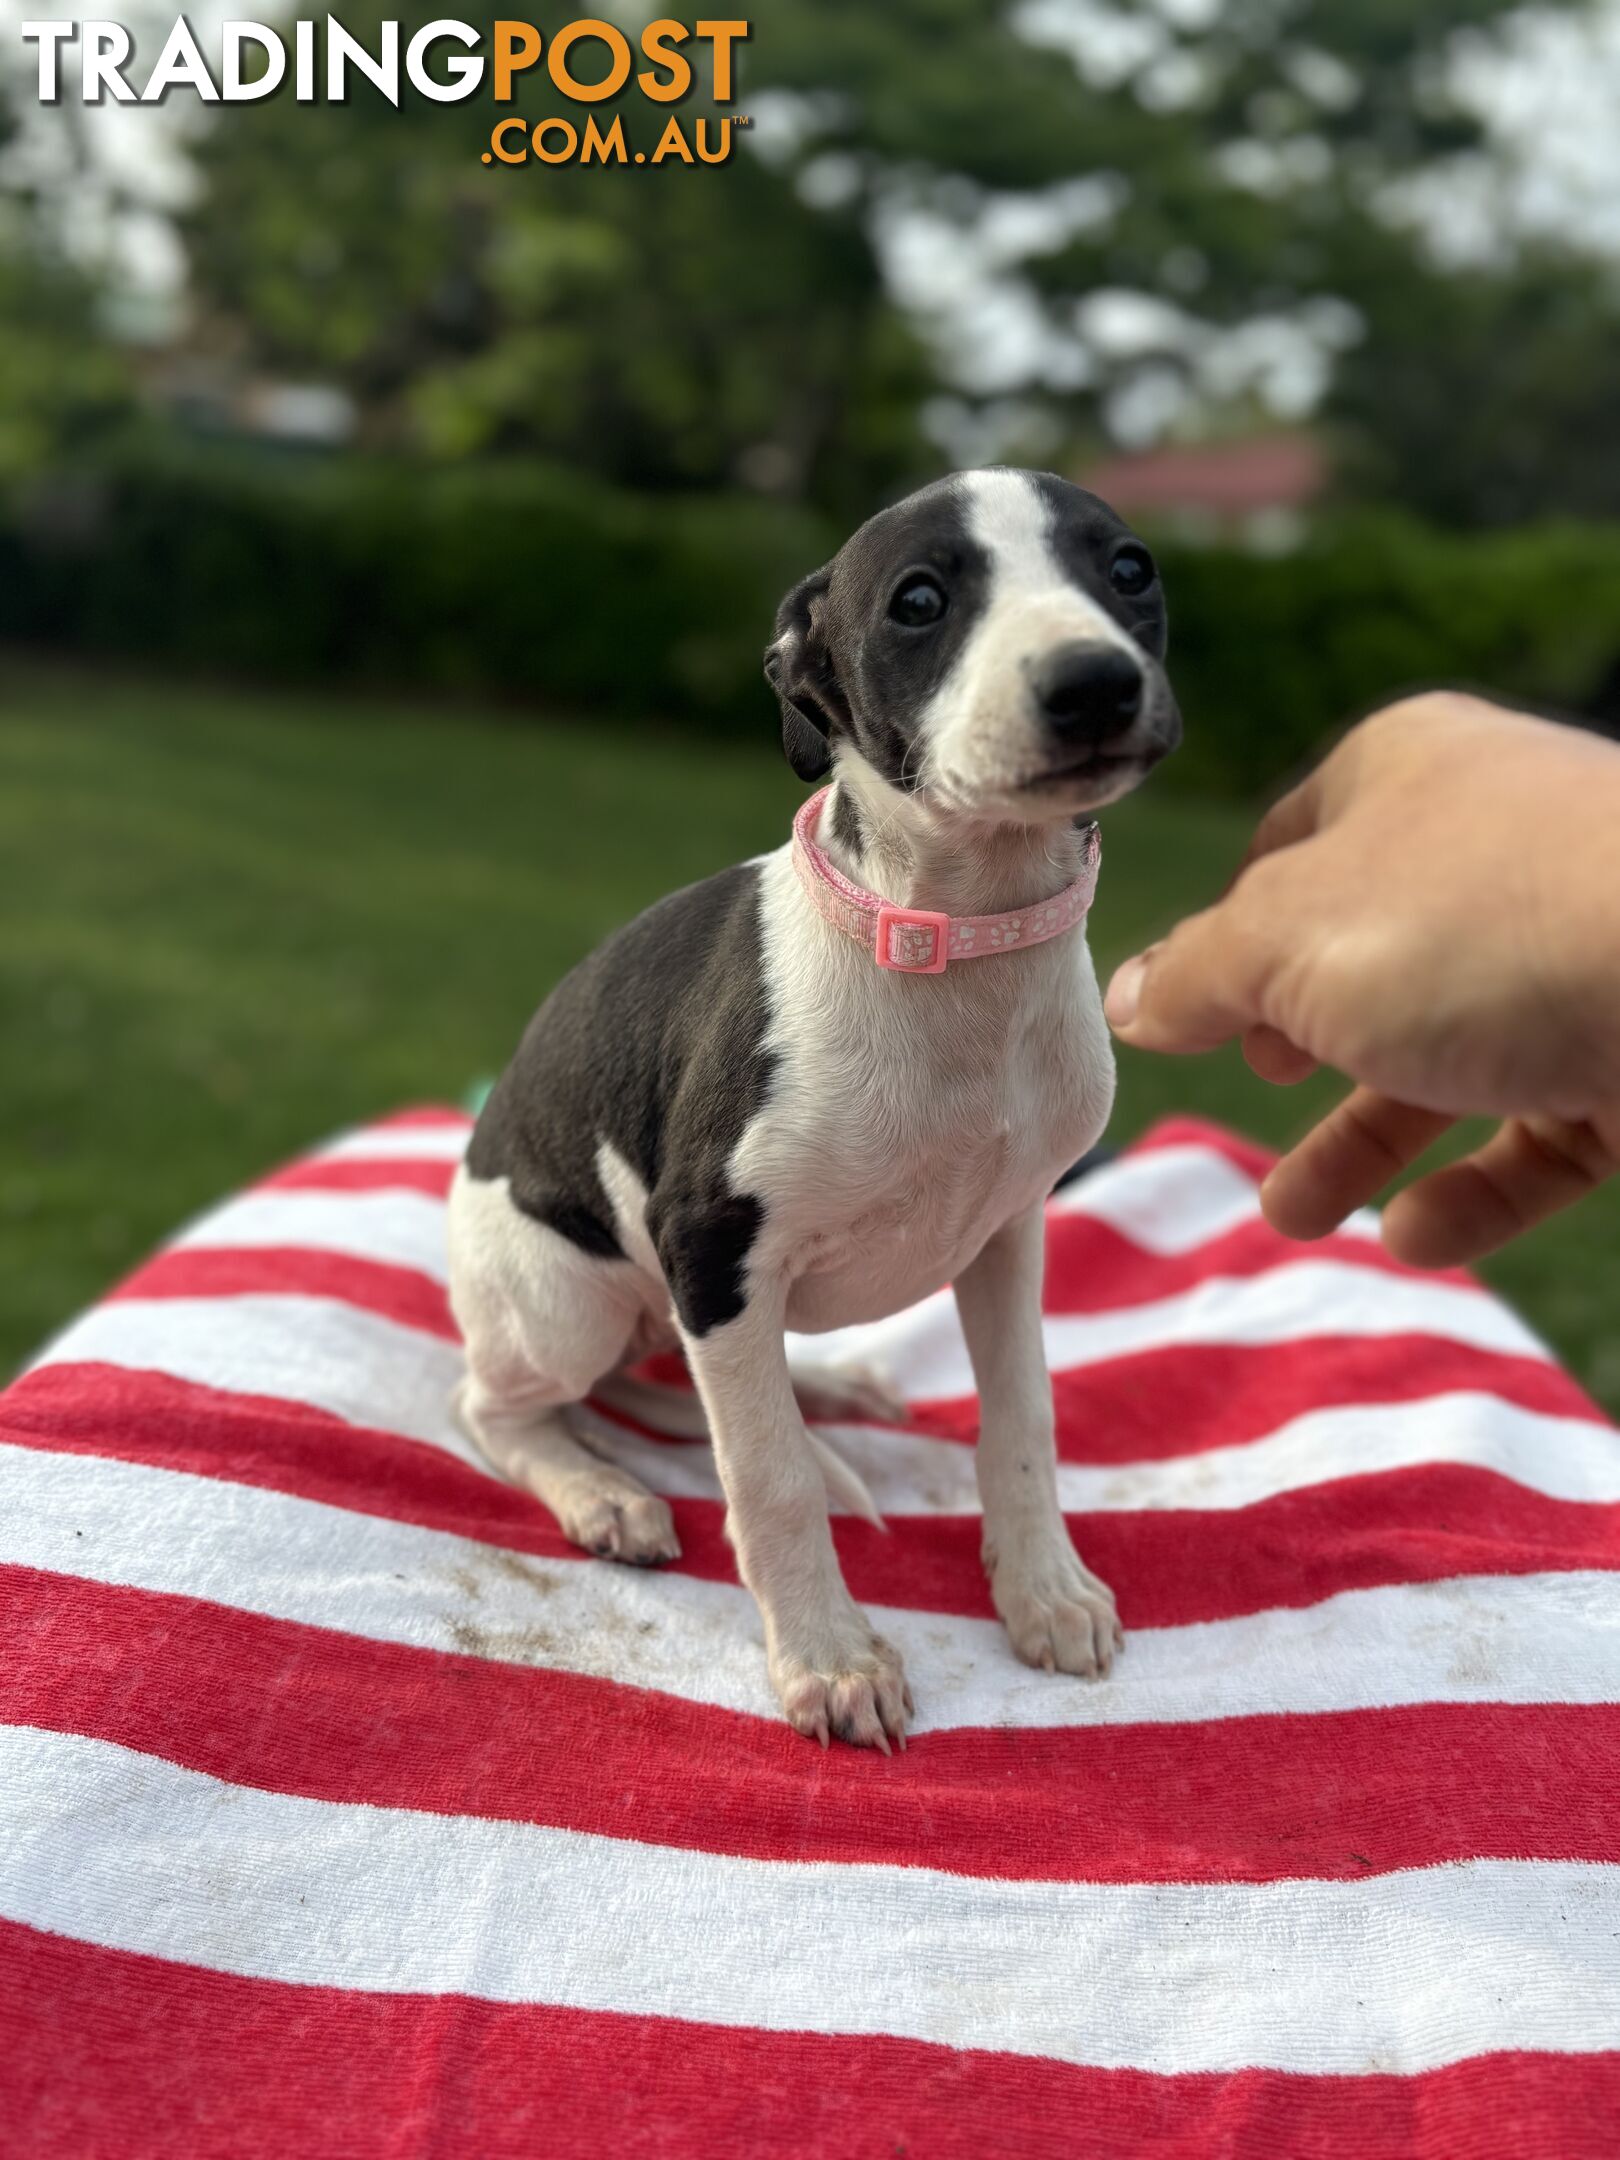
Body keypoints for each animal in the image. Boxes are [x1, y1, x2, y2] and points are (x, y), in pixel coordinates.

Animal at [447, 464, 1183, 1745]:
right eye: (920, 599)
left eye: (1129, 570)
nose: (1094, 681)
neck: (956, 946)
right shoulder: (711, 1246)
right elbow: (772, 1476)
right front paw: (831, 1659)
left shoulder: (1009, 1236)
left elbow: (1024, 1417)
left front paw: (1043, 1591)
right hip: (569, 1301)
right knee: (498, 1407)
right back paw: (599, 1490)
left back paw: (822, 1387)